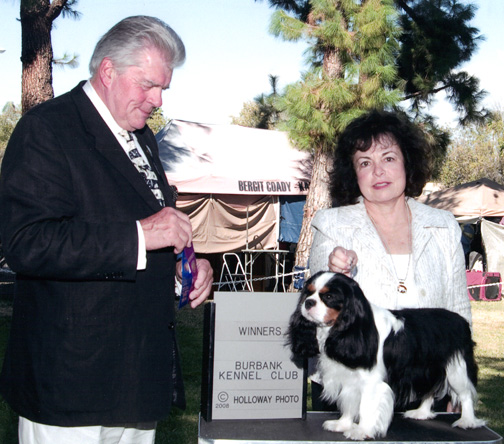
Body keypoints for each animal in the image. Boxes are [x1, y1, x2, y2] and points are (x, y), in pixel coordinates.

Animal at [286, 270, 486, 440]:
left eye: (328, 297)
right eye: (308, 293)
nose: (308, 302)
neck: (349, 328)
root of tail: (460, 320)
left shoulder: (371, 382)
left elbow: (365, 407)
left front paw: (361, 431)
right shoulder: (350, 378)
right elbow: (349, 403)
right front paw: (343, 424)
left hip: (456, 370)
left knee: (465, 395)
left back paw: (467, 421)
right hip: (427, 368)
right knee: (429, 389)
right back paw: (421, 413)